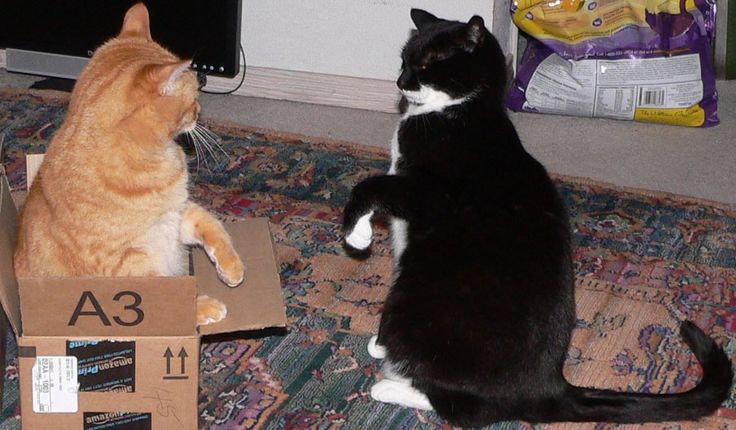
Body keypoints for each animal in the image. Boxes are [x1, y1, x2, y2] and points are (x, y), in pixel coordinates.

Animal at [13, 3, 244, 326]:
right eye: (193, 99)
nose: (200, 111)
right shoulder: (125, 264)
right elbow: (162, 290)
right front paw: (202, 307)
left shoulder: (175, 216)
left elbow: (212, 224)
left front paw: (231, 267)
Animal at [342, 8, 732, 424]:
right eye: (404, 59)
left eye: (428, 63)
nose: (400, 80)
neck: (459, 112)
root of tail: (548, 387)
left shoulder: (426, 193)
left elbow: (370, 187)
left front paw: (357, 235)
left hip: (409, 301)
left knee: (466, 409)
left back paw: (388, 379)